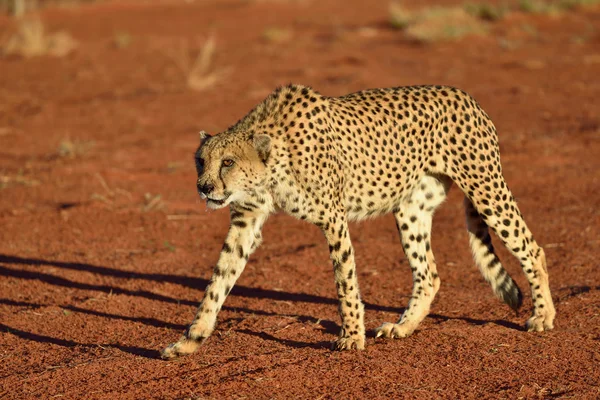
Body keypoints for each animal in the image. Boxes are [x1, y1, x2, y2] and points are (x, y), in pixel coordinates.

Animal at [161, 84, 556, 360]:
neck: (271, 163)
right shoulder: (245, 221)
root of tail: (464, 95)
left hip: (485, 189)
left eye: (227, 162)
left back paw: (543, 316)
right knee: (428, 273)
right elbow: (218, 283)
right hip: (411, 208)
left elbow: (345, 281)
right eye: (201, 160)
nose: (204, 187)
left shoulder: (333, 218)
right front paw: (190, 340)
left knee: (532, 248)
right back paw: (404, 326)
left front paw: (352, 335)